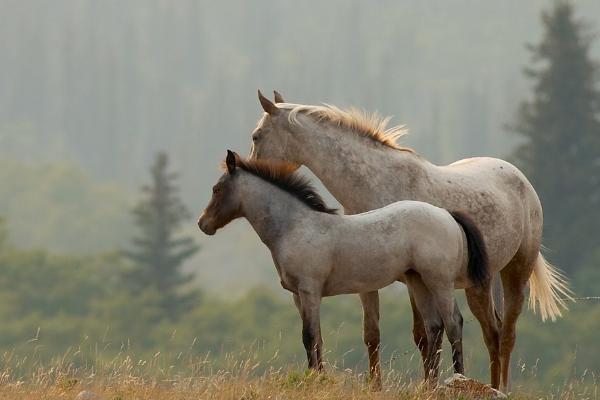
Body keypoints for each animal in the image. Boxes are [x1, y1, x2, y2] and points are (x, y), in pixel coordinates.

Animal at [199, 152, 490, 386]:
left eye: (217, 189)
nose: (203, 224)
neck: (295, 226)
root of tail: (447, 214)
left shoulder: (309, 290)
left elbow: (309, 336)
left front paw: (314, 381)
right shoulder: (298, 296)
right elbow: (316, 338)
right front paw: (318, 377)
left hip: (440, 281)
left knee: (453, 323)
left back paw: (458, 380)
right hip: (418, 280)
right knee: (433, 327)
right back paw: (427, 387)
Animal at [250, 90, 572, 390]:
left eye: (257, 135)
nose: (249, 168)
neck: (377, 182)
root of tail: (521, 180)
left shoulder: (413, 279)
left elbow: (426, 334)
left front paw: (428, 383)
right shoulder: (369, 280)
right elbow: (374, 334)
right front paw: (377, 386)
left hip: (515, 273)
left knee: (504, 335)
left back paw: (499, 388)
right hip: (479, 284)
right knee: (492, 331)